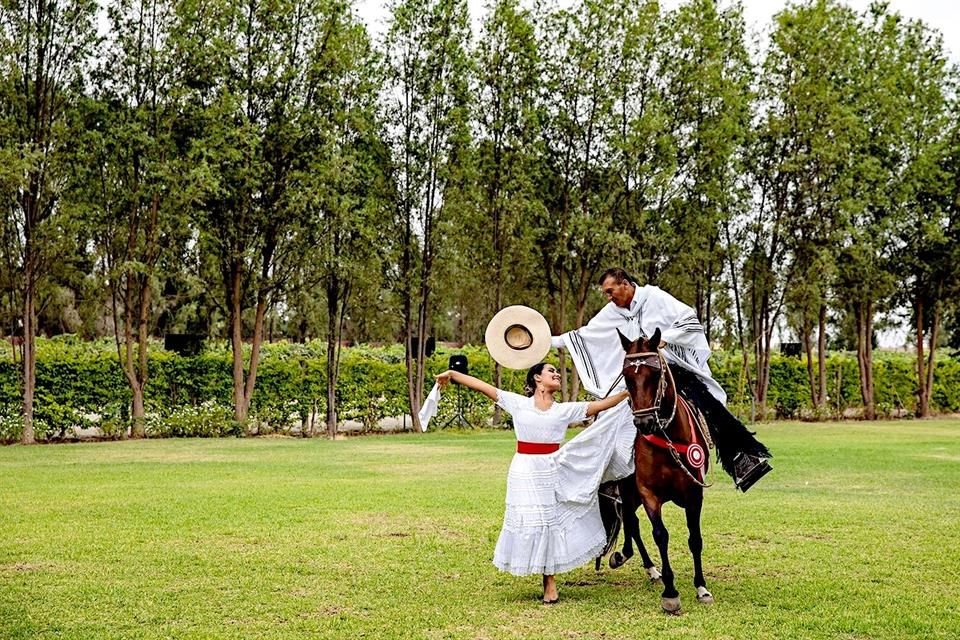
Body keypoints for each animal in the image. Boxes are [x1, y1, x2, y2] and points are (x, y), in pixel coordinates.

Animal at [616, 328, 712, 612]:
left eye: (655, 373)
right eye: (626, 376)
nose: (644, 422)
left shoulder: (694, 494)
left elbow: (695, 539)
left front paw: (701, 587)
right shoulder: (648, 493)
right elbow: (660, 535)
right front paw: (670, 591)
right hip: (628, 490)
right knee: (632, 522)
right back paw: (645, 566)